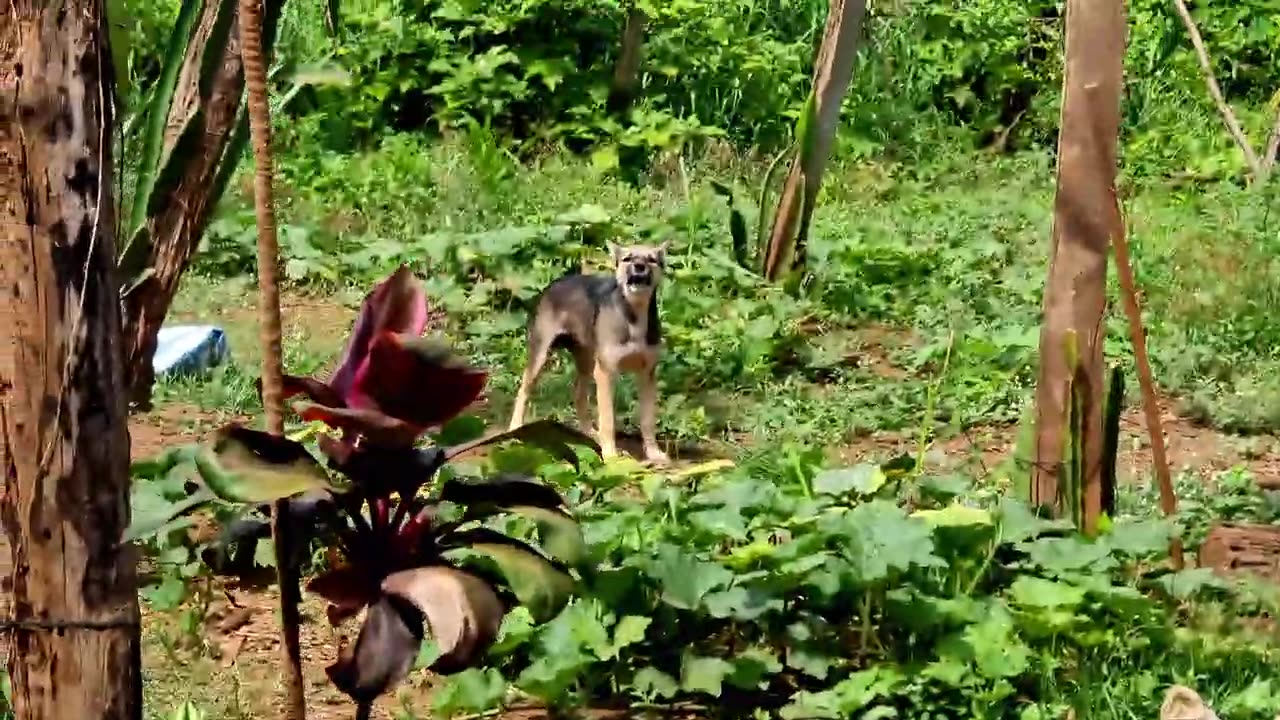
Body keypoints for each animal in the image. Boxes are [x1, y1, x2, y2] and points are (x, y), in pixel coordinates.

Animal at [506, 239, 675, 466]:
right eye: (627, 258)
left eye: (651, 260)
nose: (639, 266)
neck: (633, 318)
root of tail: (556, 283)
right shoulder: (606, 373)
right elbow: (608, 420)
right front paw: (610, 455)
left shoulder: (647, 373)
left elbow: (647, 421)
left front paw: (654, 453)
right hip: (541, 354)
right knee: (523, 391)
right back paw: (514, 431)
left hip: (586, 360)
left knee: (578, 394)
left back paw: (589, 433)